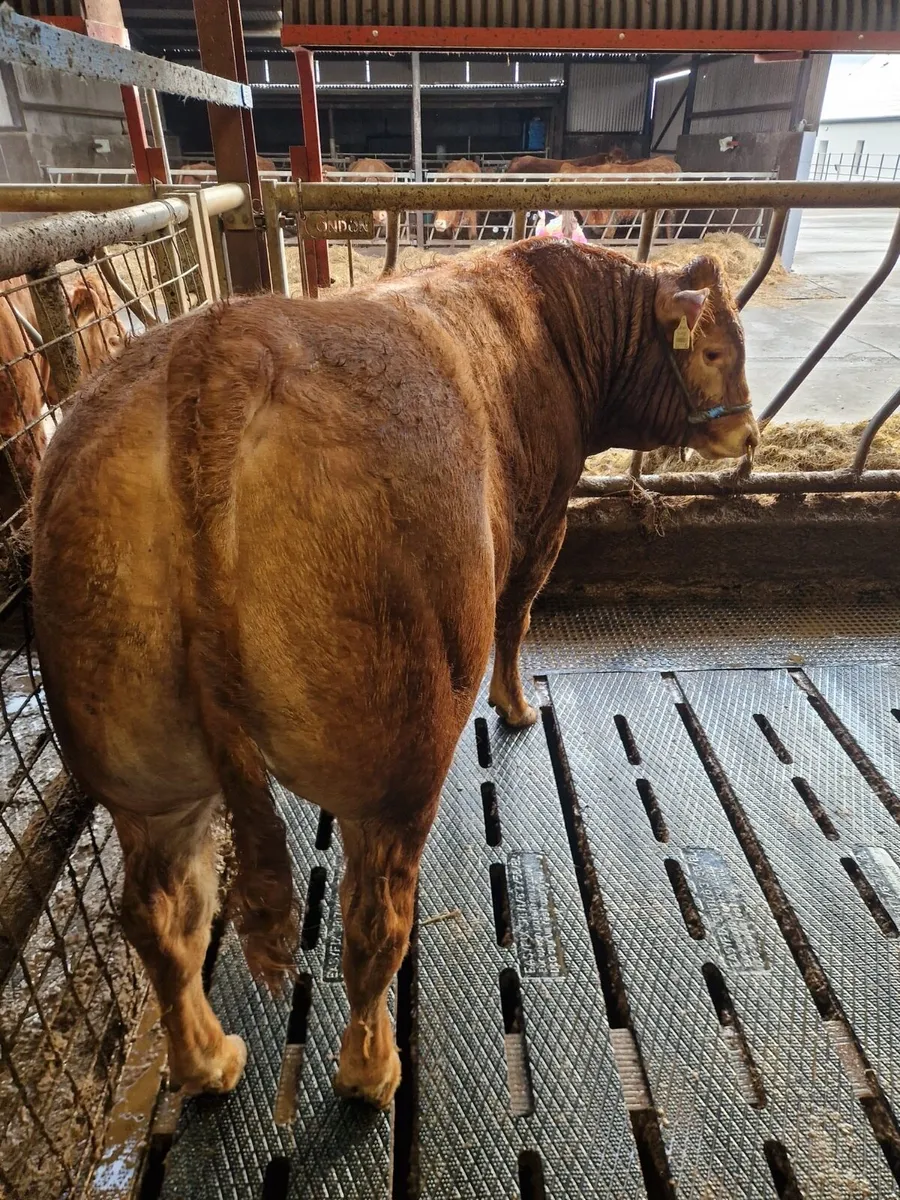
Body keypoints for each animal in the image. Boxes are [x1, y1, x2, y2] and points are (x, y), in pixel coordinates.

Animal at [30, 241, 758, 1112]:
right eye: (713, 351)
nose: (749, 434)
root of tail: (224, 351)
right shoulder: (544, 515)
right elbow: (518, 616)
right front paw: (517, 708)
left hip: (137, 765)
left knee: (160, 915)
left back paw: (209, 1060)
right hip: (398, 751)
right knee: (375, 920)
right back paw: (371, 1070)